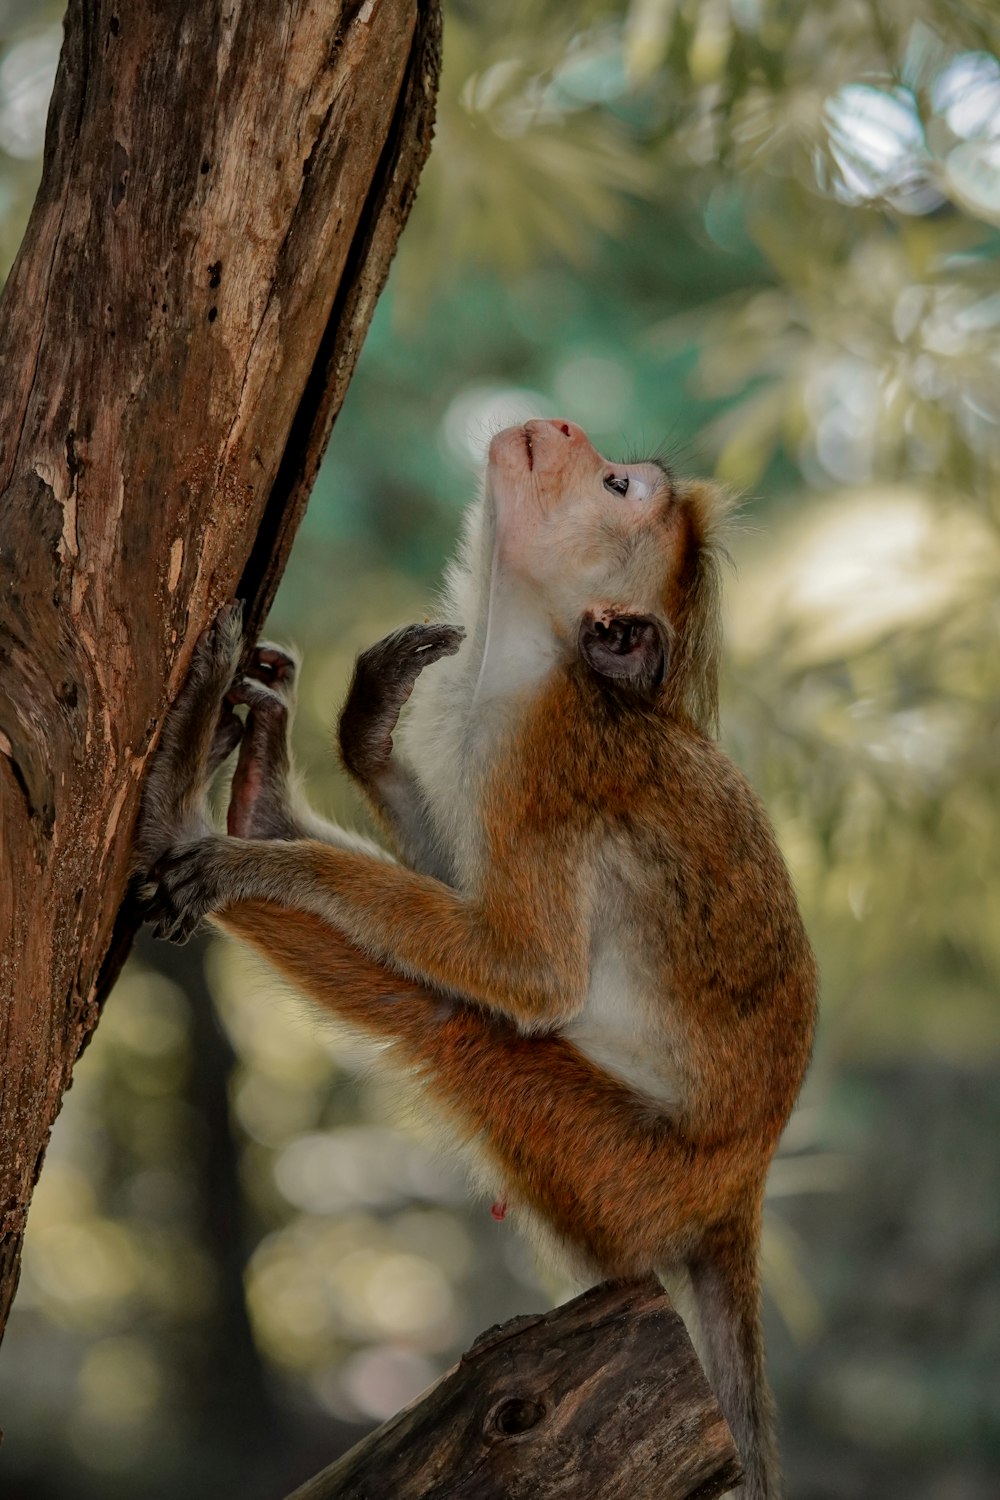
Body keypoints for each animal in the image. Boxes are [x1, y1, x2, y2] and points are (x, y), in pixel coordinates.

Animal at [134, 417, 821, 1494]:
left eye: (617, 488)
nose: (568, 428)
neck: (539, 652)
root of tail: (737, 1192)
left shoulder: (541, 757)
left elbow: (531, 979)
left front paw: (263, 861)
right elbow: (467, 908)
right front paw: (361, 739)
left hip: (618, 1167)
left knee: (456, 1029)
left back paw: (190, 816)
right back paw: (256, 795)